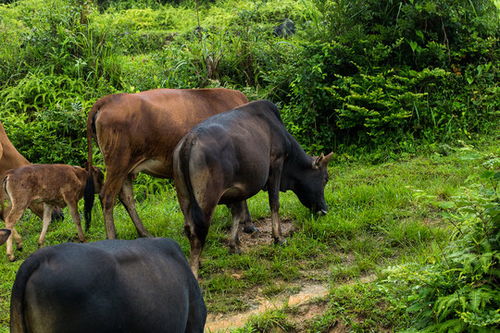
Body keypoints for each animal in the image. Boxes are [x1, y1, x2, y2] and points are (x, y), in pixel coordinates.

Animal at [86, 88, 256, 239]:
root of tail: (109, 99)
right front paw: (248, 224)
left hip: (126, 167)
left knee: (126, 197)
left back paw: (145, 233)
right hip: (118, 163)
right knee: (107, 197)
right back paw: (112, 237)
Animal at [174, 100, 334, 276]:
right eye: (325, 178)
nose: (324, 210)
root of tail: (189, 140)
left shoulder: (237, 188)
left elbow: (237, 213)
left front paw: (234, 245)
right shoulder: (276, 162)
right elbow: (274, 202)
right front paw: (278, 238)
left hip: (184, 197)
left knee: (189, 227)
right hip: (207, 199)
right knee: (198, 231)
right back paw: (194, 269)